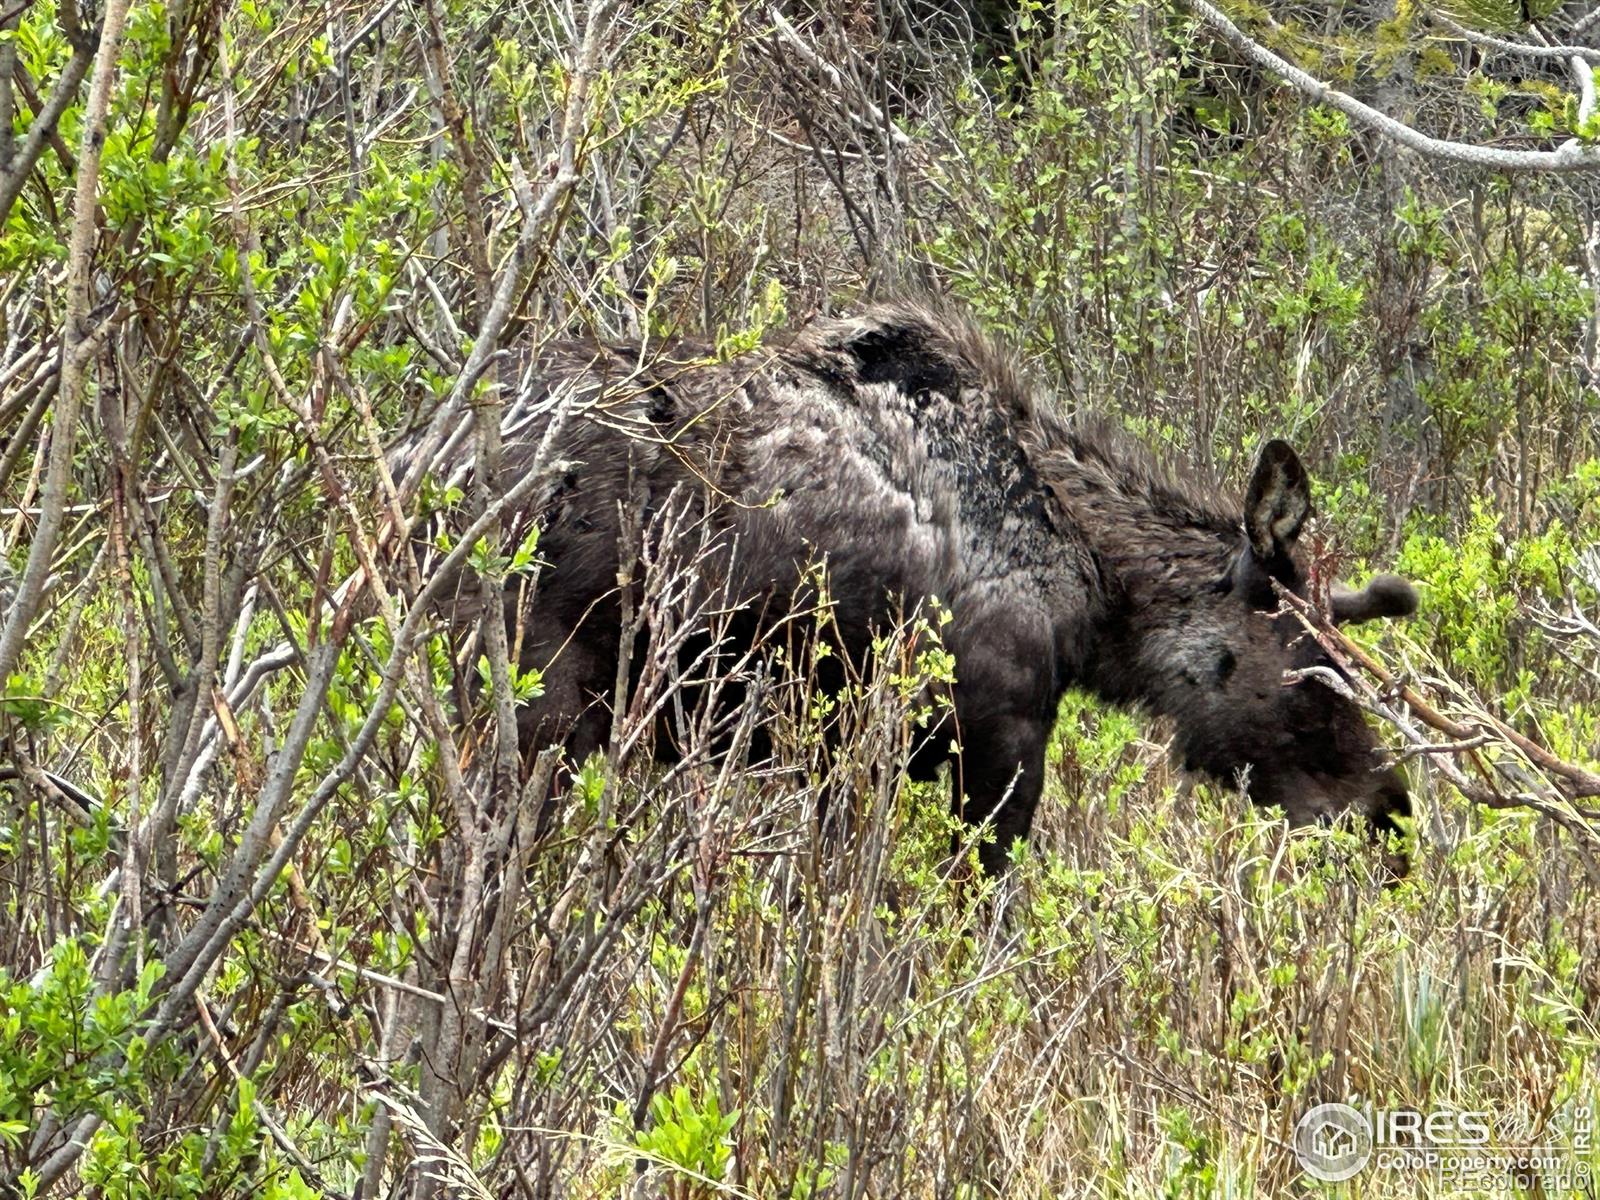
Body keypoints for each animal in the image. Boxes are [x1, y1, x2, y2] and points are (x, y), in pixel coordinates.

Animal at [396, 302, 1414, 876]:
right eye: (1316, 678)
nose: (1390, 815)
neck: (1093, 581)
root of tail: (417, 461)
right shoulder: (997, 744)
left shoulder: (836, 759)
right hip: (538, 703)